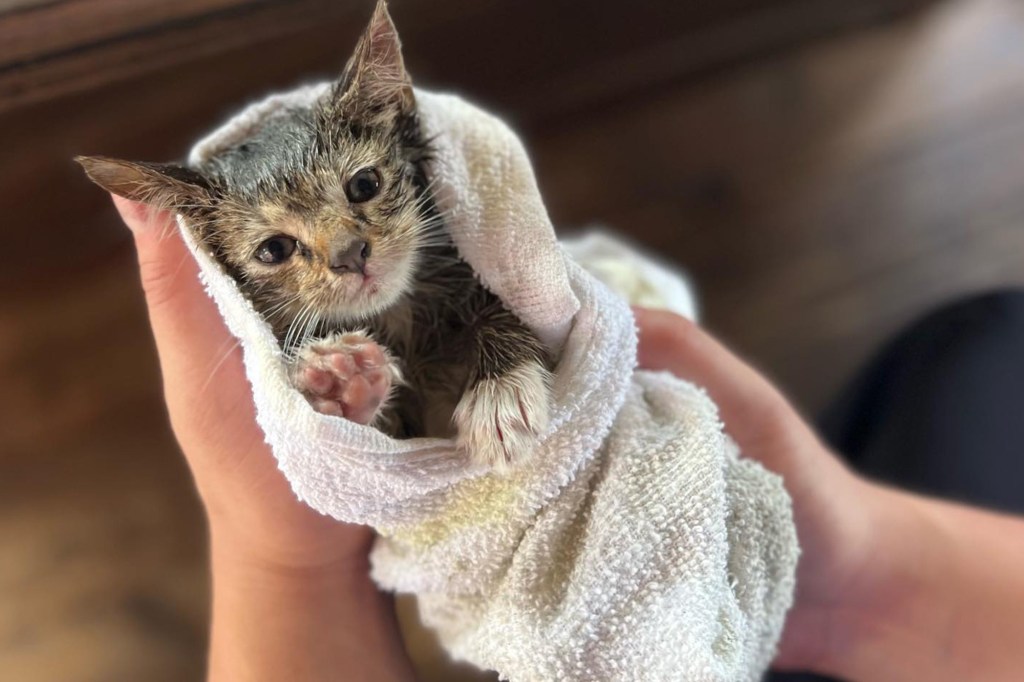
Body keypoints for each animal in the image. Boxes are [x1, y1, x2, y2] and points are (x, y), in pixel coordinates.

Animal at [77, 0, 552, 466]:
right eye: (274, 249)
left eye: (365, 184)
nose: (350, 254)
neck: (398, 320)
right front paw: (343, 386)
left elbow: (506, 307)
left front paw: (500, 390)